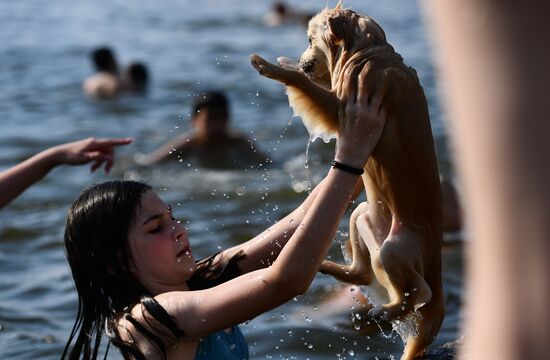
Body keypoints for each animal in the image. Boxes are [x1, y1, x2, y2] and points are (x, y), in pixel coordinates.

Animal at [252, 3, 446, 360]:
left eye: (309, 38)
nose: (300, 59)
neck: (368, 52)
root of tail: (437, 269)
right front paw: (286, 64)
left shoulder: (342, 107)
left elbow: (307, 87)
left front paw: (276, 67)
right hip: (362, 217)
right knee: (364, 271)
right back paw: (329, 268)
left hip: (394, 249)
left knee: (418, 293)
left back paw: (385, 310)